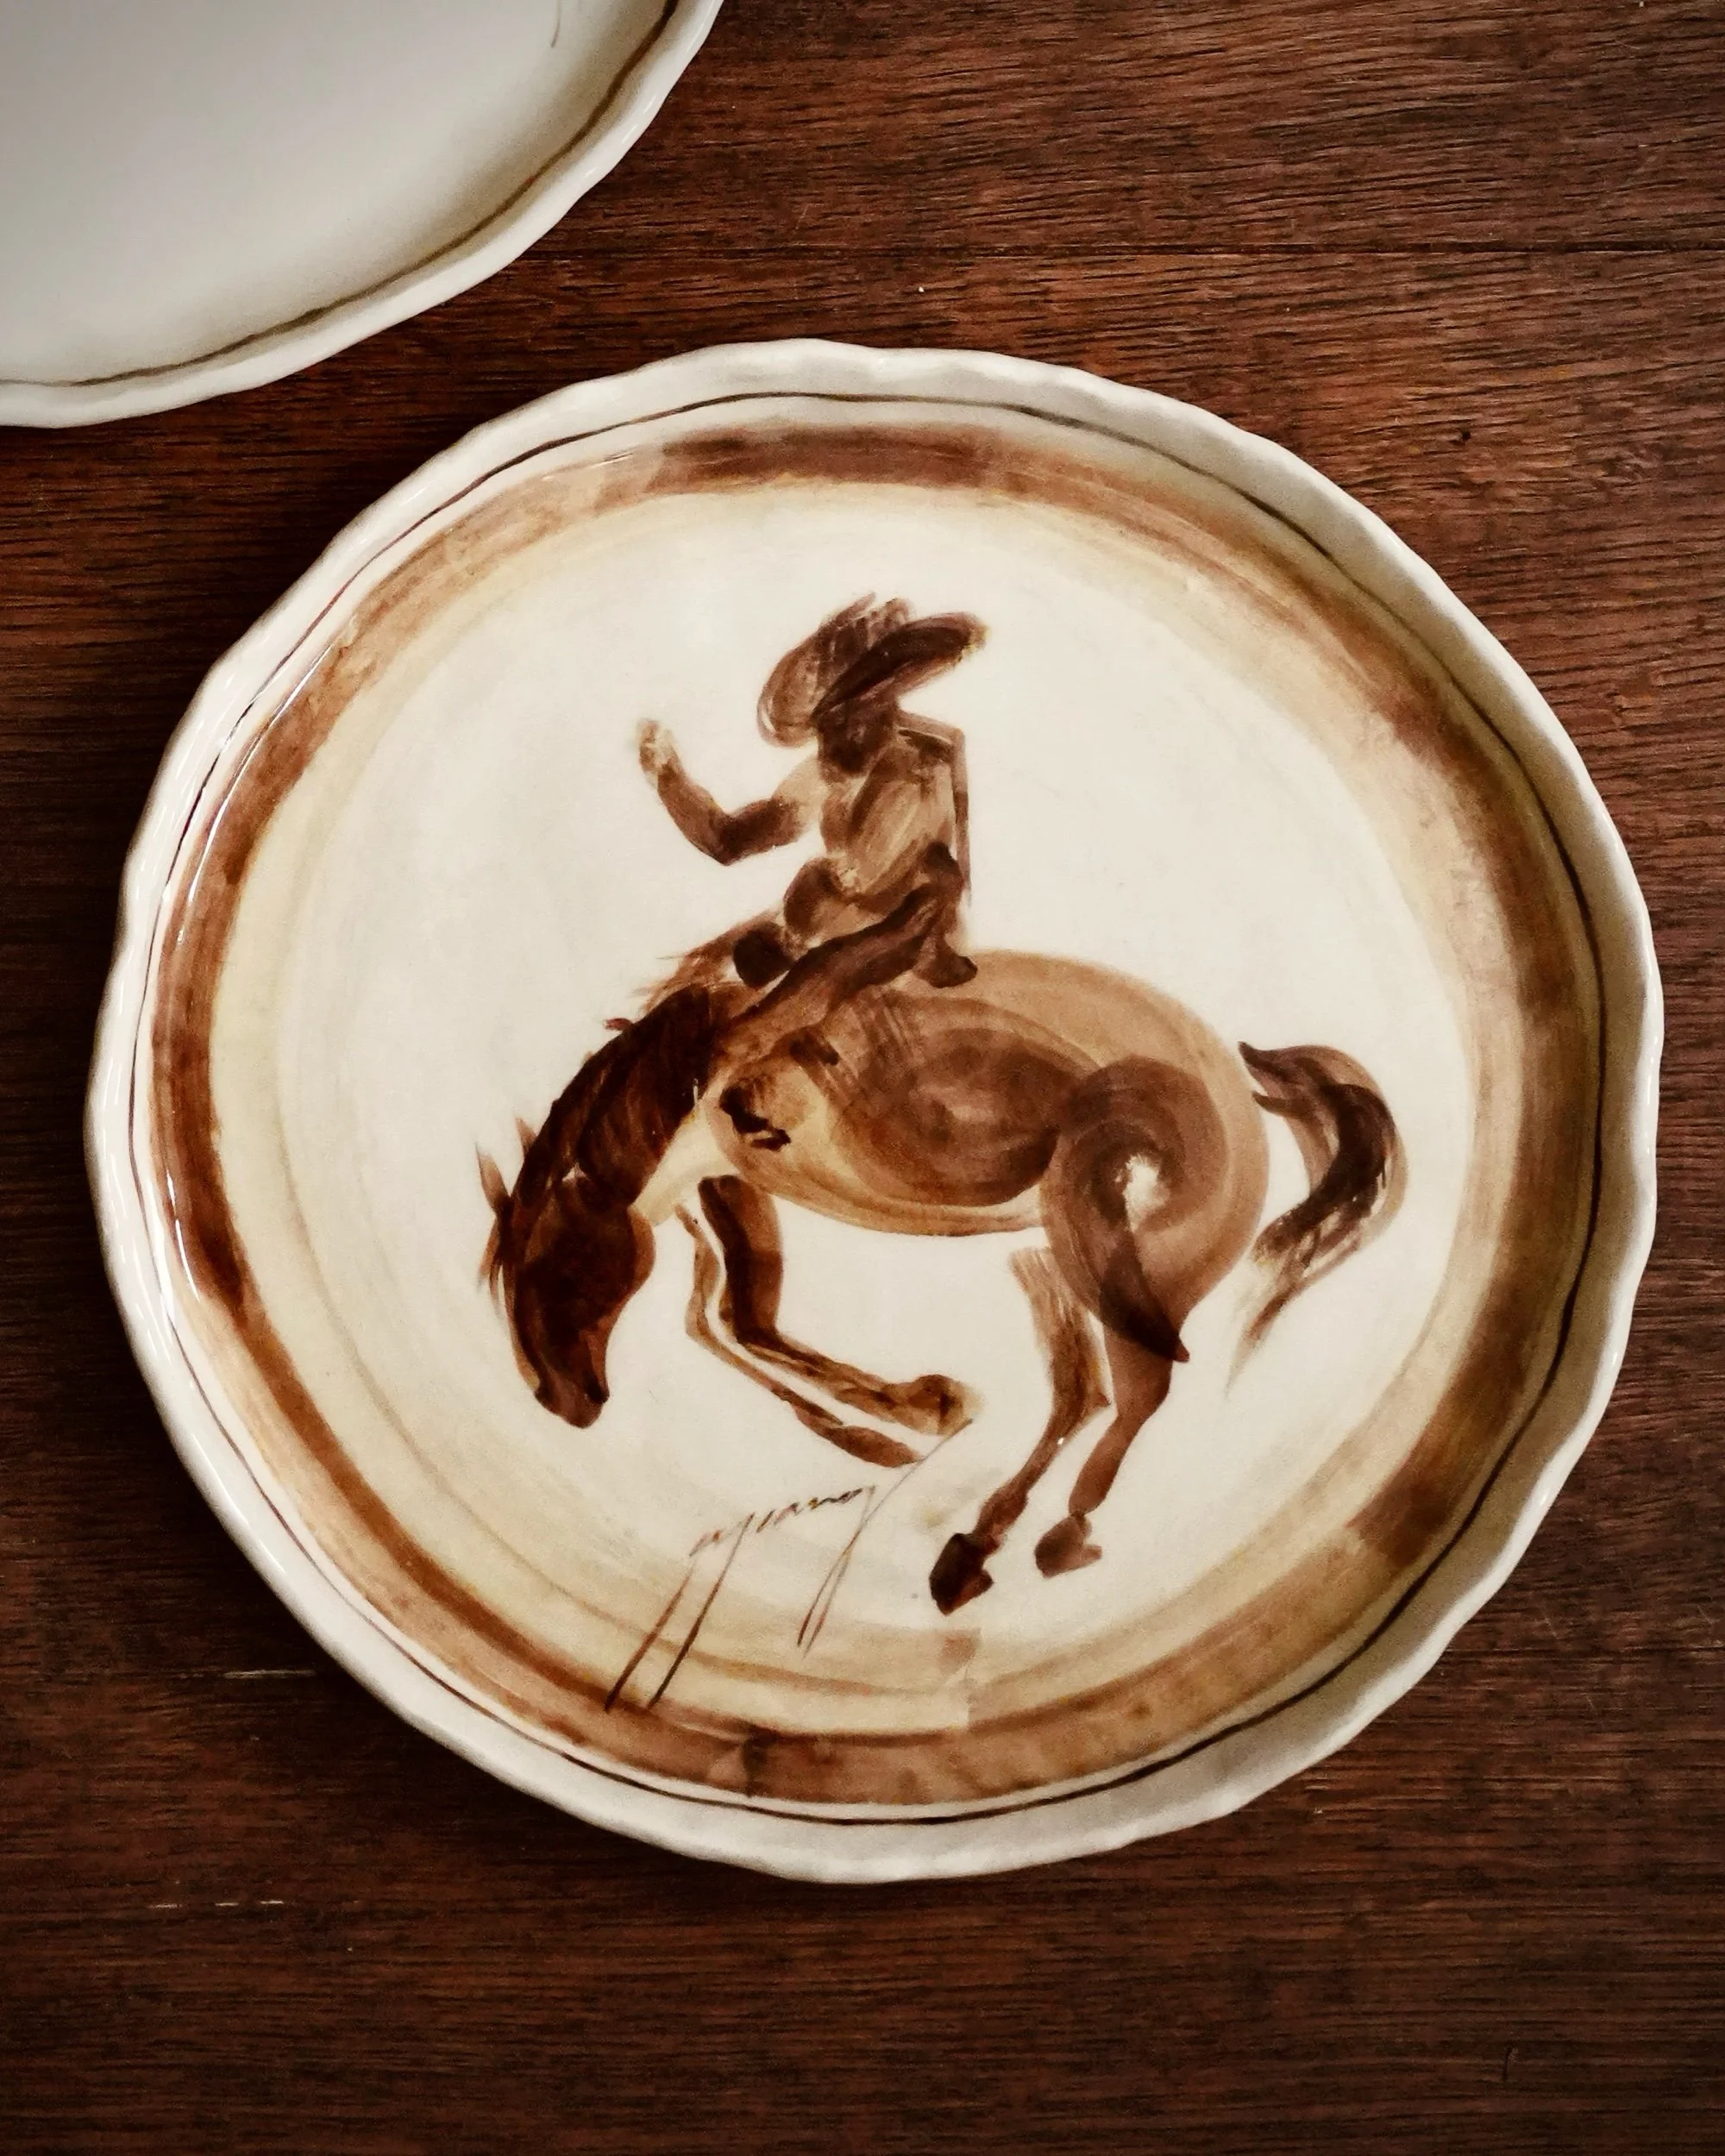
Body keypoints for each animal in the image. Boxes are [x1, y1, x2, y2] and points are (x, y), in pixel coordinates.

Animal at [480, 949, 1404, 1614]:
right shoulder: (724, 1185)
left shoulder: (729, 1169)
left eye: (553, 1262)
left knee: (1139, 1393)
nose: (565, 1402)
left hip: (1126, 1270)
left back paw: (1061, 1534)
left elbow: (731, 1318)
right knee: (1083, 1394)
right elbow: (732, 1317)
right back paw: (975, 1548)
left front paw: (905, 1417)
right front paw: (905, 1415)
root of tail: (1246, 1089)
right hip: (1045, 1261)